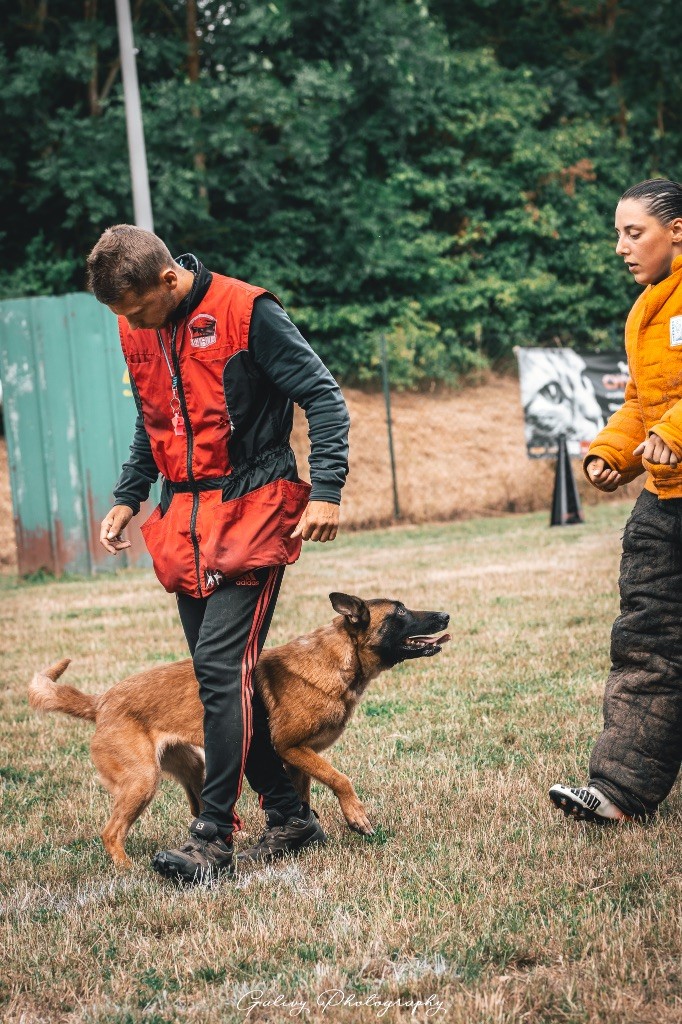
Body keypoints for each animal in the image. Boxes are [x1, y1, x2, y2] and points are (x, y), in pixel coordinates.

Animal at [29, 593, 448, 864]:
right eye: (400, 612)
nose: (444, 615)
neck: (337, 660)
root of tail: (101, 702)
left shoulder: (297, 759)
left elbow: (301, 799)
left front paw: (299, 837)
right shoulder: (290, 748)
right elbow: (340, 778)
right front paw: (356, 817)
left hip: (194, 768)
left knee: (198, 809)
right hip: (142, 780)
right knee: (111, 832)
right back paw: (129, 871)